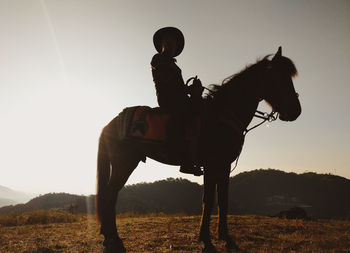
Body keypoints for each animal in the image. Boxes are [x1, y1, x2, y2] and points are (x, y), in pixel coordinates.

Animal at [95, 47, 300, 251]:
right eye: (279, 77)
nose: (296, 111)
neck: (223, 114)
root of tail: (110, 123)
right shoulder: (211, 165)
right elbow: (208, 201)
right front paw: (205, 239)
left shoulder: (224, 166)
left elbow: (223, 200)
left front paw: (224, 236)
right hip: (124, 163)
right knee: (110, 194)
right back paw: (113, 237)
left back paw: (108, 234)